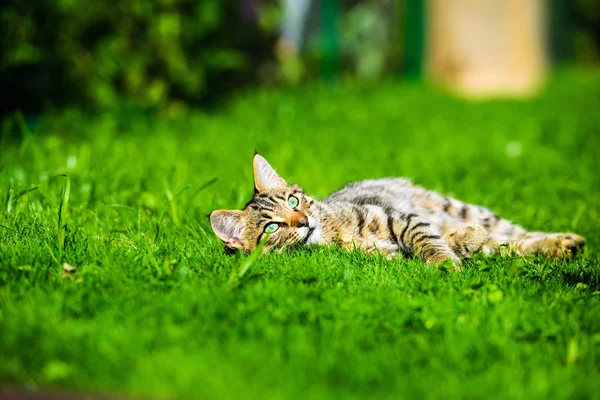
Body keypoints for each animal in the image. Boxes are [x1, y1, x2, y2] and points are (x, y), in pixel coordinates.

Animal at [209, 153, 584, 268]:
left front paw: (444, 262)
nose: (303, 222)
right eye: (272, 228)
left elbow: (427, 239)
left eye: (292, 201)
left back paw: (564, 241)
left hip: (464, 208)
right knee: (512, 245)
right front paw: (461, 246)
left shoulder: (400, 219)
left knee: (518, 234)